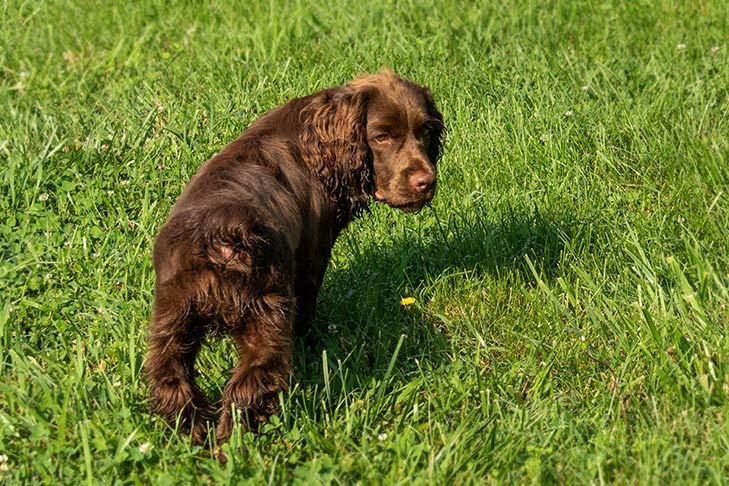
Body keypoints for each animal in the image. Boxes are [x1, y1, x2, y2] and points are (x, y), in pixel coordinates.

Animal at [144, 68, 440, 444]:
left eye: (425, 131)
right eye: (382, 136)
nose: (426, 182)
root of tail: (223, 237)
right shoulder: (312, 258)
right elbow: (307, 308)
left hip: (173, 315)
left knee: (170, 376)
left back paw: (193, 433)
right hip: (264, 315)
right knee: (249, 385)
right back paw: (232, 444)